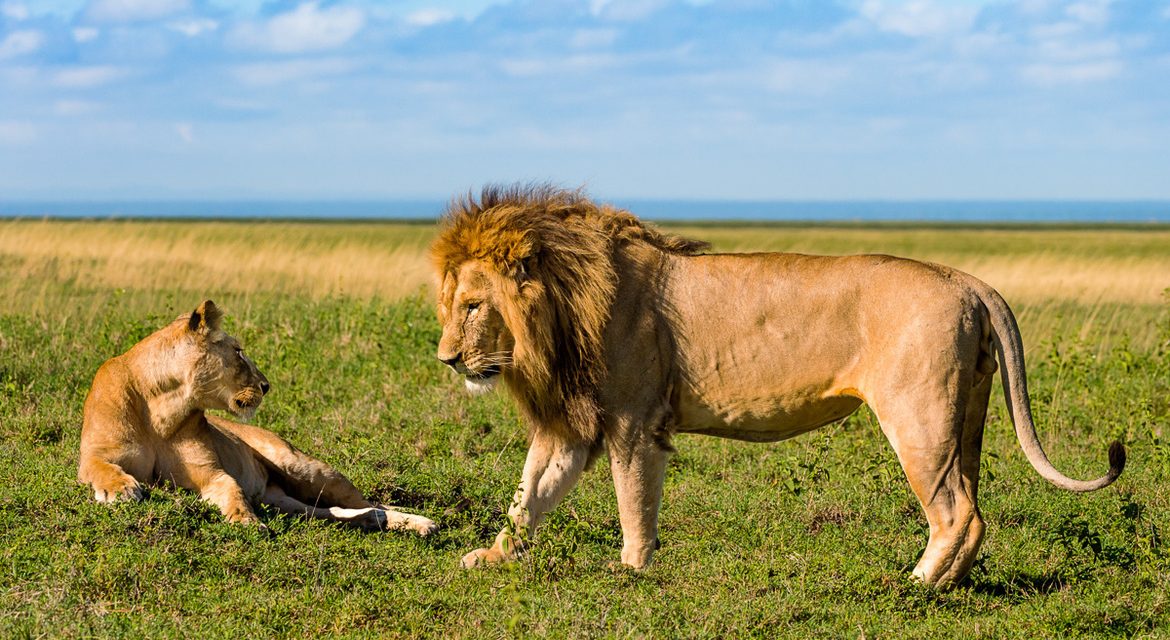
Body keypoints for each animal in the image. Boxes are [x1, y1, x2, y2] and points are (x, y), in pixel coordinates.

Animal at [77, 300, 437, 535]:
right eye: (238, 351)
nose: (266, 385)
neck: (164, 410)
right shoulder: (94, 455)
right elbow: (101, 467)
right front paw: (121, 490)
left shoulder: (209, 473)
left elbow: (231, 488)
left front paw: (246, 521)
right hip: (286, 501)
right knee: (334, 511)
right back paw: (373, 521)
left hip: (303, 466)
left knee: (370, 501)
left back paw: (420, 523)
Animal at [430, 184, 1125, 588]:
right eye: (450, 304)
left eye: (471, 305)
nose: (447, 360)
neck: (564, 305)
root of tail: (966, 277)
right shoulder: (573, 425)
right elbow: (529, 495)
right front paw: (491, 557)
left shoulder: (634, 422)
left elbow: (633, 500)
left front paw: (630, 570)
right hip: (968, 415)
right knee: (974, 504)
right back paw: (950, 584)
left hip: (918, 417)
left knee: (958, 511)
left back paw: (915, 586)